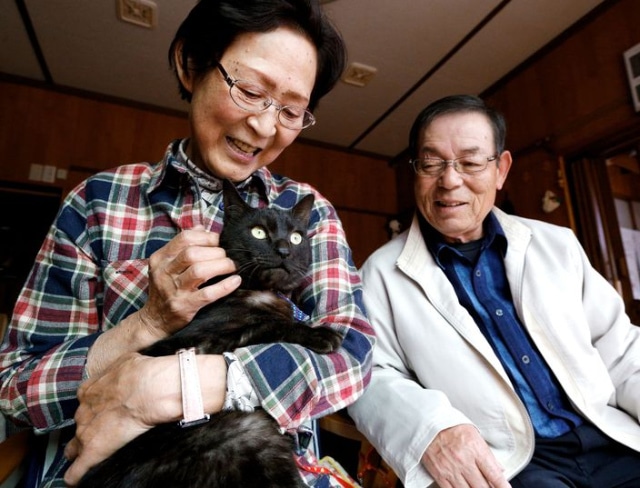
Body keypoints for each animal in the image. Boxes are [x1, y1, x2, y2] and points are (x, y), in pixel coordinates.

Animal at [79, 180, 344, 488]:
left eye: (296, 237)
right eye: (258, 232)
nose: (283, 250)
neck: (261, 293)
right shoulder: (199, 340)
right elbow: (265, 326)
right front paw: (321, 333)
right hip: (251, 429)